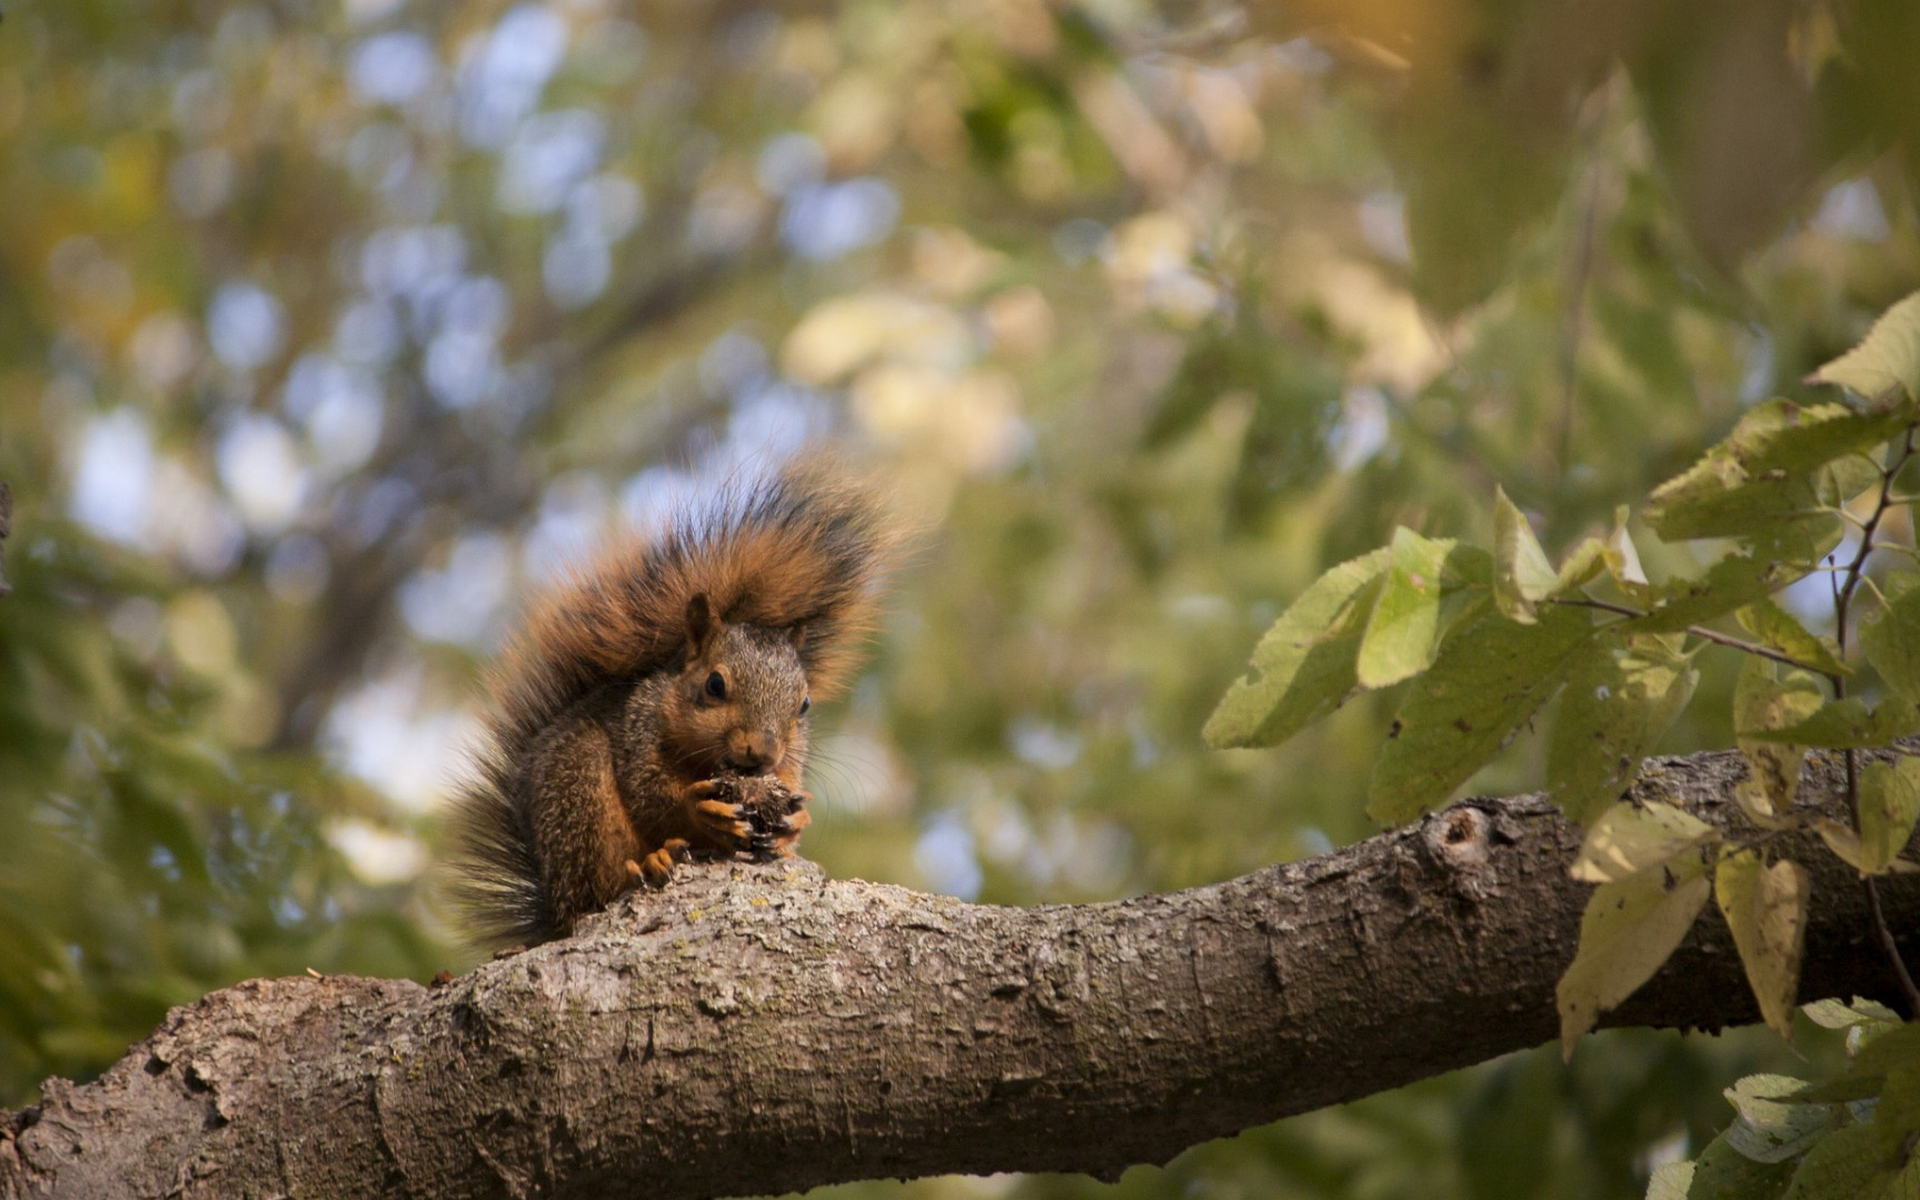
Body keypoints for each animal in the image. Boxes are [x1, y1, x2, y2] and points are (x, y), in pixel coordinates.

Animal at [447, 458, 898, 944]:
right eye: (715, 685)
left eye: (805, 705)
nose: (761, 753)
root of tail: (553, 905)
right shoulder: (638, 730)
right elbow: (650, 797)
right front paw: (701, 811)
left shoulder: (788, 766)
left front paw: (793, 825)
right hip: (578, 793)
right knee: (596, 888)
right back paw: (647, 864)